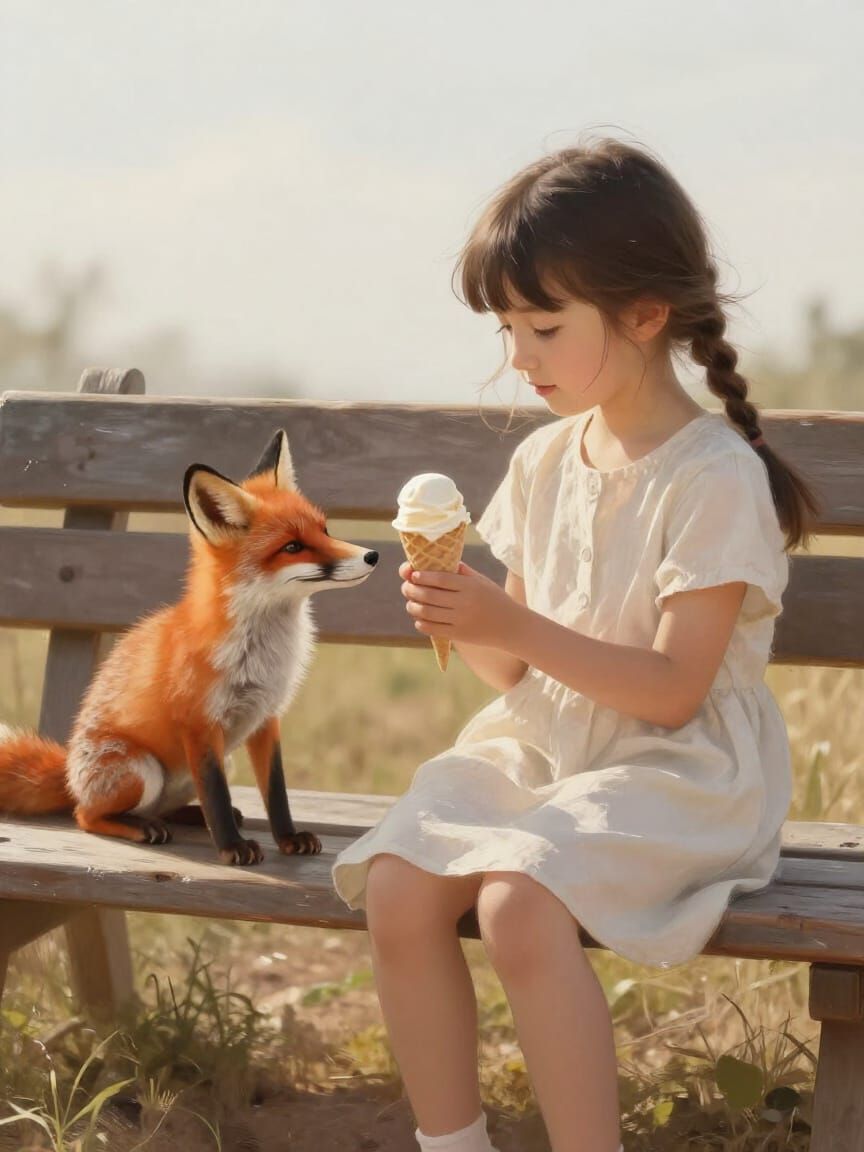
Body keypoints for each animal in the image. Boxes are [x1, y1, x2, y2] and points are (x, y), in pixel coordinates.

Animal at [0, 429, 379, 865]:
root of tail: (68, 776)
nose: (372, 555)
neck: (261, 653)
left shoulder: (266, 717)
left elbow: (275, 792)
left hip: (199, 769)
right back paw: (140, 826)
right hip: (142, 770)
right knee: (86, 815)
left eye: (325, 530)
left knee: (165, 806)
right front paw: (232, 847)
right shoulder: (199, 724)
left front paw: (287, 837)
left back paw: (185, 817)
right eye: (292, 547)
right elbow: (215, 794)